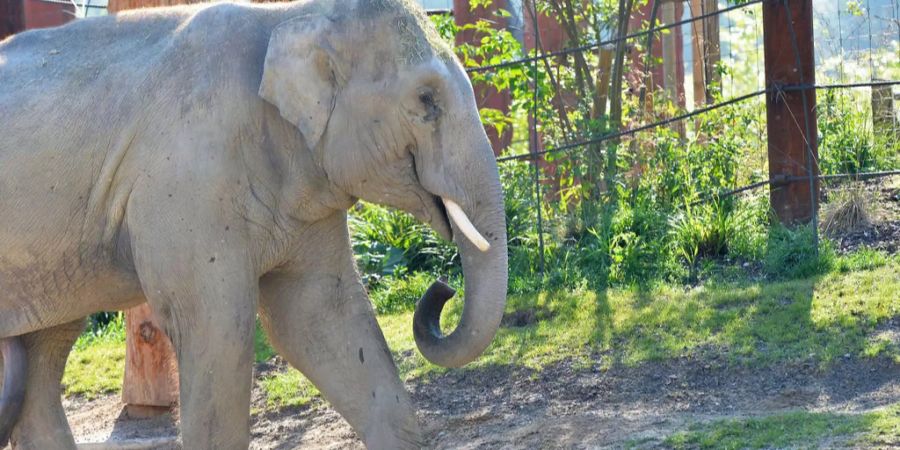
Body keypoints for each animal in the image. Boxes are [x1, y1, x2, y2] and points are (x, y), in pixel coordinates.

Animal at [0, 0, 506, 448]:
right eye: (427, 100)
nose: (442, 289)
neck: (291, 17)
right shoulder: (187, 182)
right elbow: (220, 329)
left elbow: (320, 317)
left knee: (43, 360)